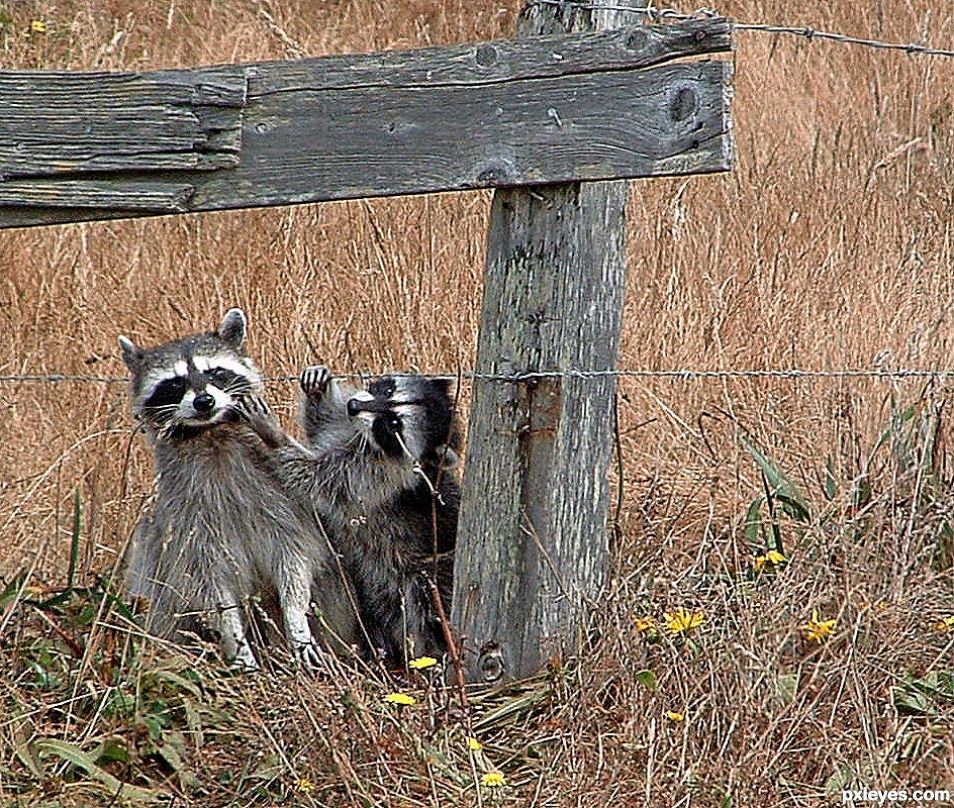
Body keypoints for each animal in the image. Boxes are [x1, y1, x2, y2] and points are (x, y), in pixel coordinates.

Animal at [119, 308, 356, 668]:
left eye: (216, 373)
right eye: (175, 383)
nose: (204, 401)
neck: (211, 434)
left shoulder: (280, 497)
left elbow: (295, 558)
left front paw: (296, 619)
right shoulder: (186, 518)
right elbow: (206, 582)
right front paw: (235, 637)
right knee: (154, 576)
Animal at [238, 366, 462, 664]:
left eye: (393, 424)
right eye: (386, 390)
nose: (354, 405)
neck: (367, 442)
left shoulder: (370, 477)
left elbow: (317, 479)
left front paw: (275, 437)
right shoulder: (350, 432)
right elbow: (324, 428)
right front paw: (318, 392)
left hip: (425, 578)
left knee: (421, 609)